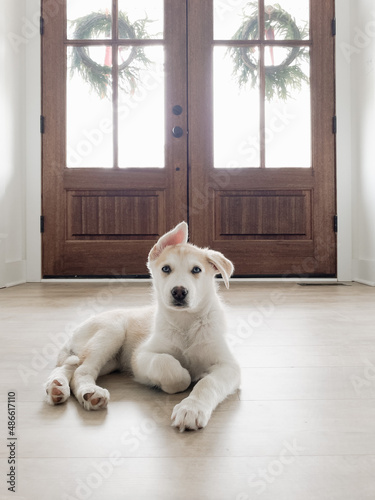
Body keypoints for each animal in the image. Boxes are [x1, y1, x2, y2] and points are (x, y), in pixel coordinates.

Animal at [45, 222, 242, 430]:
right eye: (166, 268)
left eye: (196, 270)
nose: (179, 292)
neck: (185, 323)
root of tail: (75, 332)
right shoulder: (141, 356)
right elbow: (168, 365)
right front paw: (185, 377)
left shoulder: (228, 366)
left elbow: (208, 383)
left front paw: (191, 409)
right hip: (110, 332)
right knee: (81, 370)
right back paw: (90, 393)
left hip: (110, 361)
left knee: (69, 367)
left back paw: (57, 386)